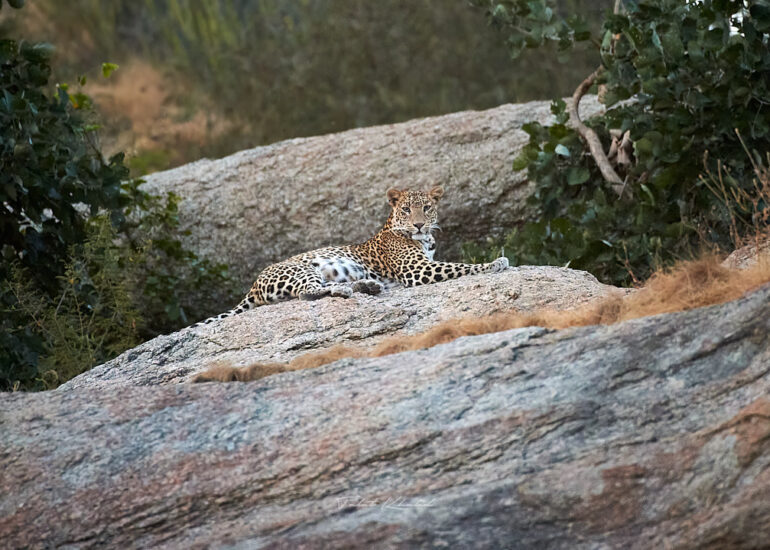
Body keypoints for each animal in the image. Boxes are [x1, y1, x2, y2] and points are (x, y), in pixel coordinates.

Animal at [192, 186, 508, 326]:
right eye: (407, 209)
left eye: (427, 207)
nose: (419, 224)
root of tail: (253, 285)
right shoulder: (418, 270)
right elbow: (461, 266)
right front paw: (497, 262)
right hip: (303, 270)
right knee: (308, 293)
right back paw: (351, 289)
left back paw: (367, 286)